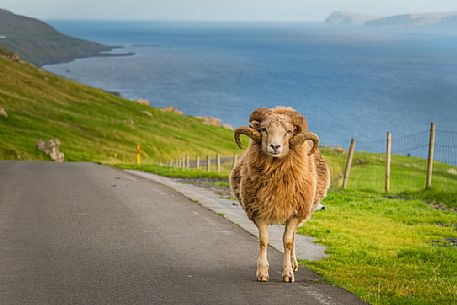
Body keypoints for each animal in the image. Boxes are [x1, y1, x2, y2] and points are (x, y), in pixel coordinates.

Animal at [230, 107, 330, 282]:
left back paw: (294, 264)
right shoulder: (259, 210)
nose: (275, 146)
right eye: (264, 129)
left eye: (289, 131)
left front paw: (288, 273)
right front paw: (262, 271)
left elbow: (288, 242)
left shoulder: (295, 213)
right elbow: (264, 240)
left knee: (293, 238)